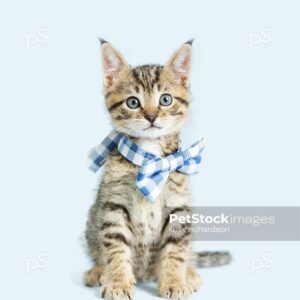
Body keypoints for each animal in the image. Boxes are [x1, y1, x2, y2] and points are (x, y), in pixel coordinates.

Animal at [84, 40, 230, 300]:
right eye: (133, 102)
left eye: (165, 100)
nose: (151, 116)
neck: (149, 157)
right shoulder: (113, 203)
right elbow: (116, 246)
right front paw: (118, 281)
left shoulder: (179, 206)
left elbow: (176, 249)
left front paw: (174, 281)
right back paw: (98, 271)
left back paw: (189, 273)